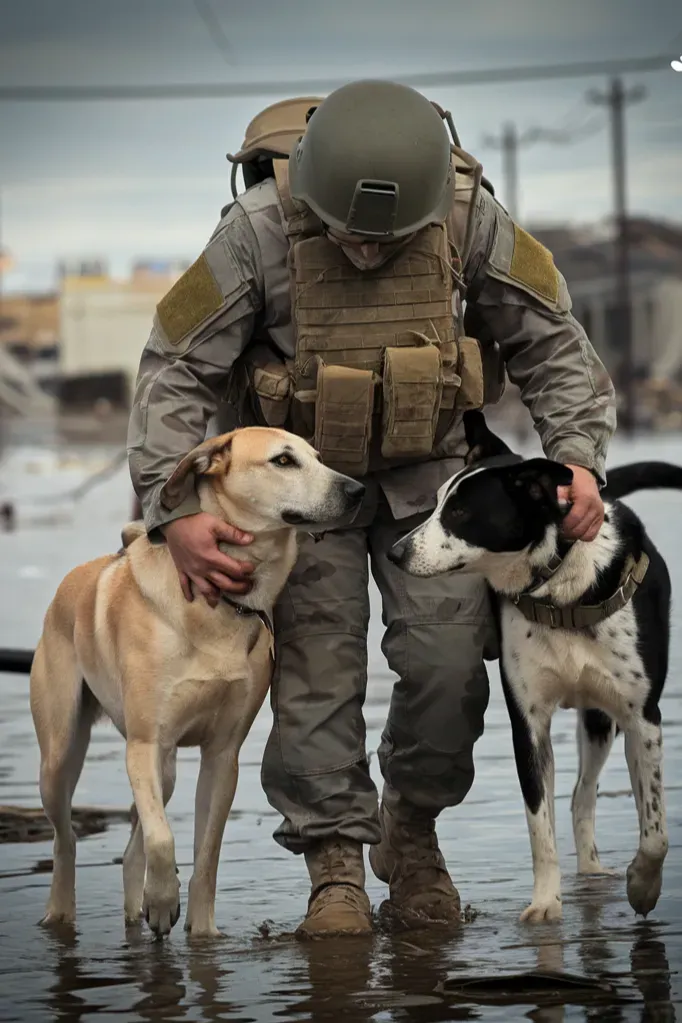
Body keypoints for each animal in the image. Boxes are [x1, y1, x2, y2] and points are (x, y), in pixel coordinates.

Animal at [29, 427, 366, 937]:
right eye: (283, 461)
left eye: (318, 457)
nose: (357, 490)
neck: (221, 606)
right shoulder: (144, 745)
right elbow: (163, 838)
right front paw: (164, 901)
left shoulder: (222, 756)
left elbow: (205, 854)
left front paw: (201, 932)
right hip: (61, 756)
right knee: (65, 839)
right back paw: (61, 914)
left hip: (165, 771)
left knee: (132, 844)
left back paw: (137, 912)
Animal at [388, 409, 682, 928]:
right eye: (436, 502)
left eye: (460, 513)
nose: (395, 552)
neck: (558, 588)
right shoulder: (528, 727)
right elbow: (539, 827)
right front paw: (546, 903)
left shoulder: (642, 719)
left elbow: (656, 831)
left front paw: (643, 887)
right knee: (578, 798)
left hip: (603, 720)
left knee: (585, 795)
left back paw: (599, 873)